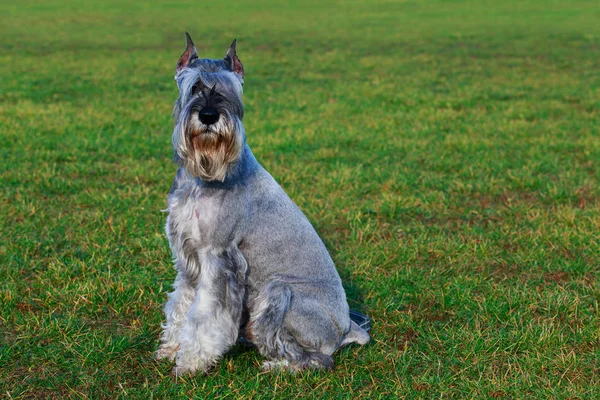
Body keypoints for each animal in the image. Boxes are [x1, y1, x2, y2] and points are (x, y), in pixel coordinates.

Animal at [155, 32, 370, 376]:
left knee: (317, 359)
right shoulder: (188, 258)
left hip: (278, 291)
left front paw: (190, 362)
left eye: (230, 90)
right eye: (195, 86)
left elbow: (203, 316)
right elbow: (182, 303)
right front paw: (172, 347)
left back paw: (275, 364)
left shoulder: (219, 257)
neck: (203, 177)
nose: (209, 116)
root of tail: (348, 328)